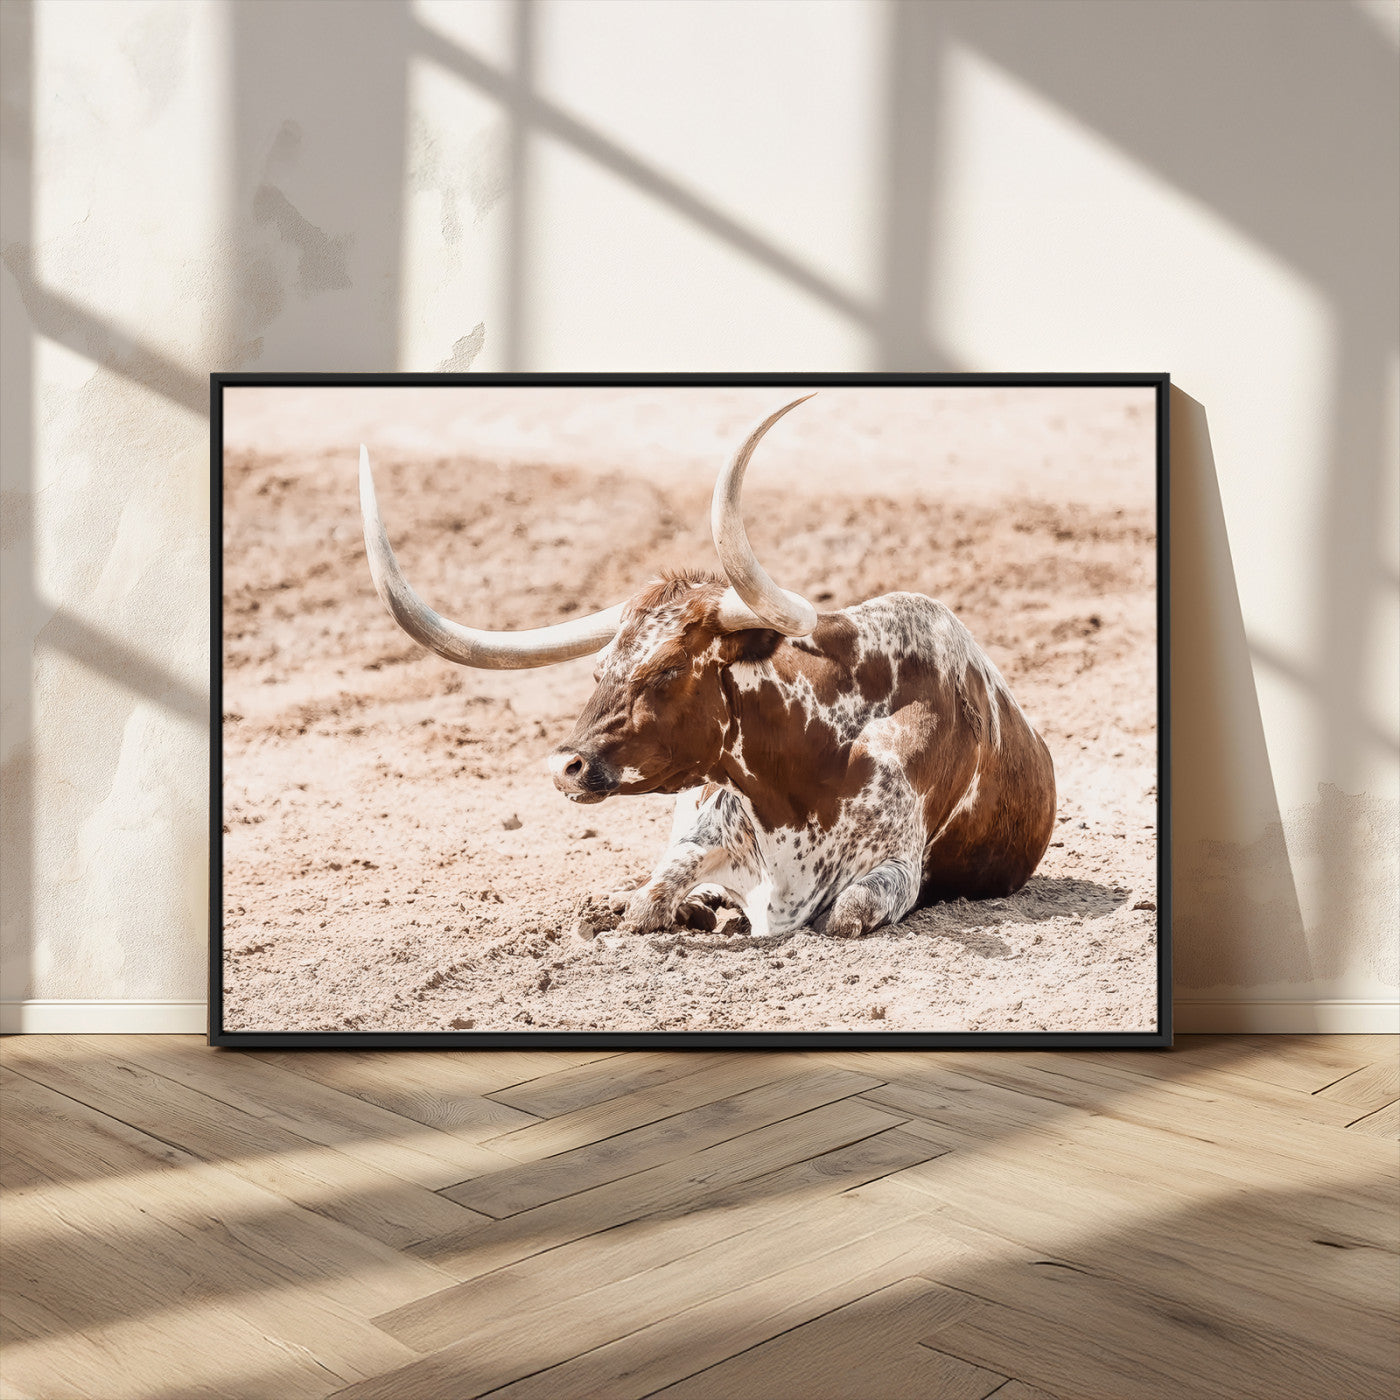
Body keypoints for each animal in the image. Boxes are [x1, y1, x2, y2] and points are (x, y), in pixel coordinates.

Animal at [359, 395, 1056, 941]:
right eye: (600, 668)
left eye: (668, 670)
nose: (565, 766)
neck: (809, 770)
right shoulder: (700, 834)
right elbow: (648, 902)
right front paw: (665, 908)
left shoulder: (896, 871)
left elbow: (845, 912)